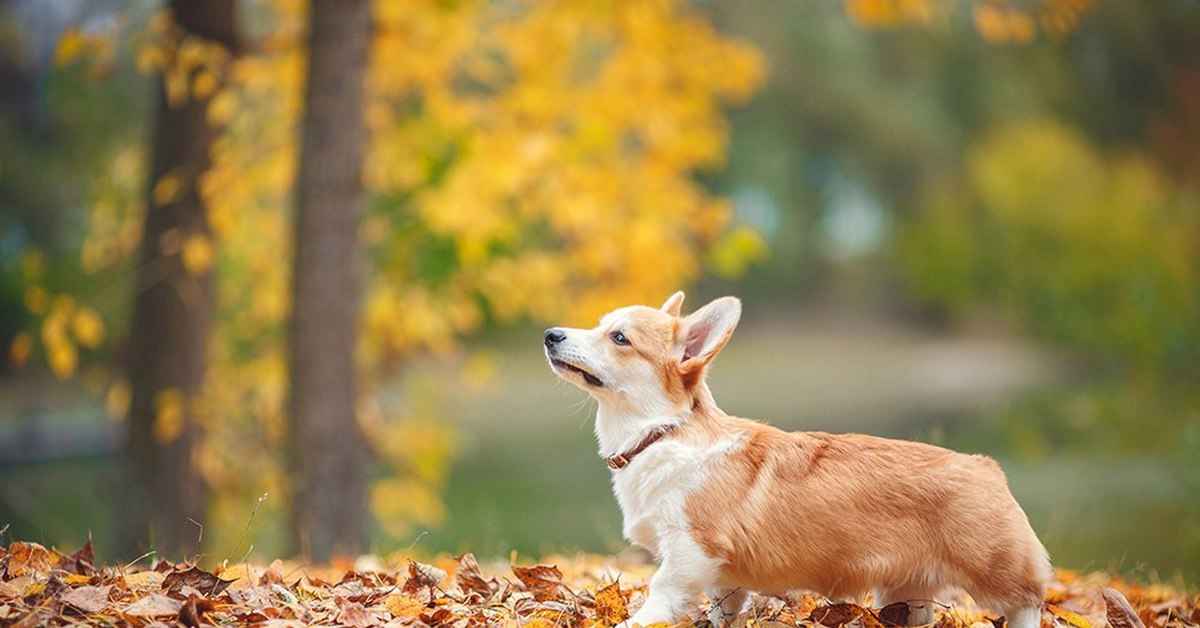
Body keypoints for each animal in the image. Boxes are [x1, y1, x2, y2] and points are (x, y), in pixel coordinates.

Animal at [544, 295, 1051, 628]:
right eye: (602, 325)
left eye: (619, 338)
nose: (550, 334)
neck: (661, 433)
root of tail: (987, 468)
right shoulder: (723, 580)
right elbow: (723, 611)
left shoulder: (690, 551)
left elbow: (659, 594)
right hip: (904, 594)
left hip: (997, 576)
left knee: (1028, 602)